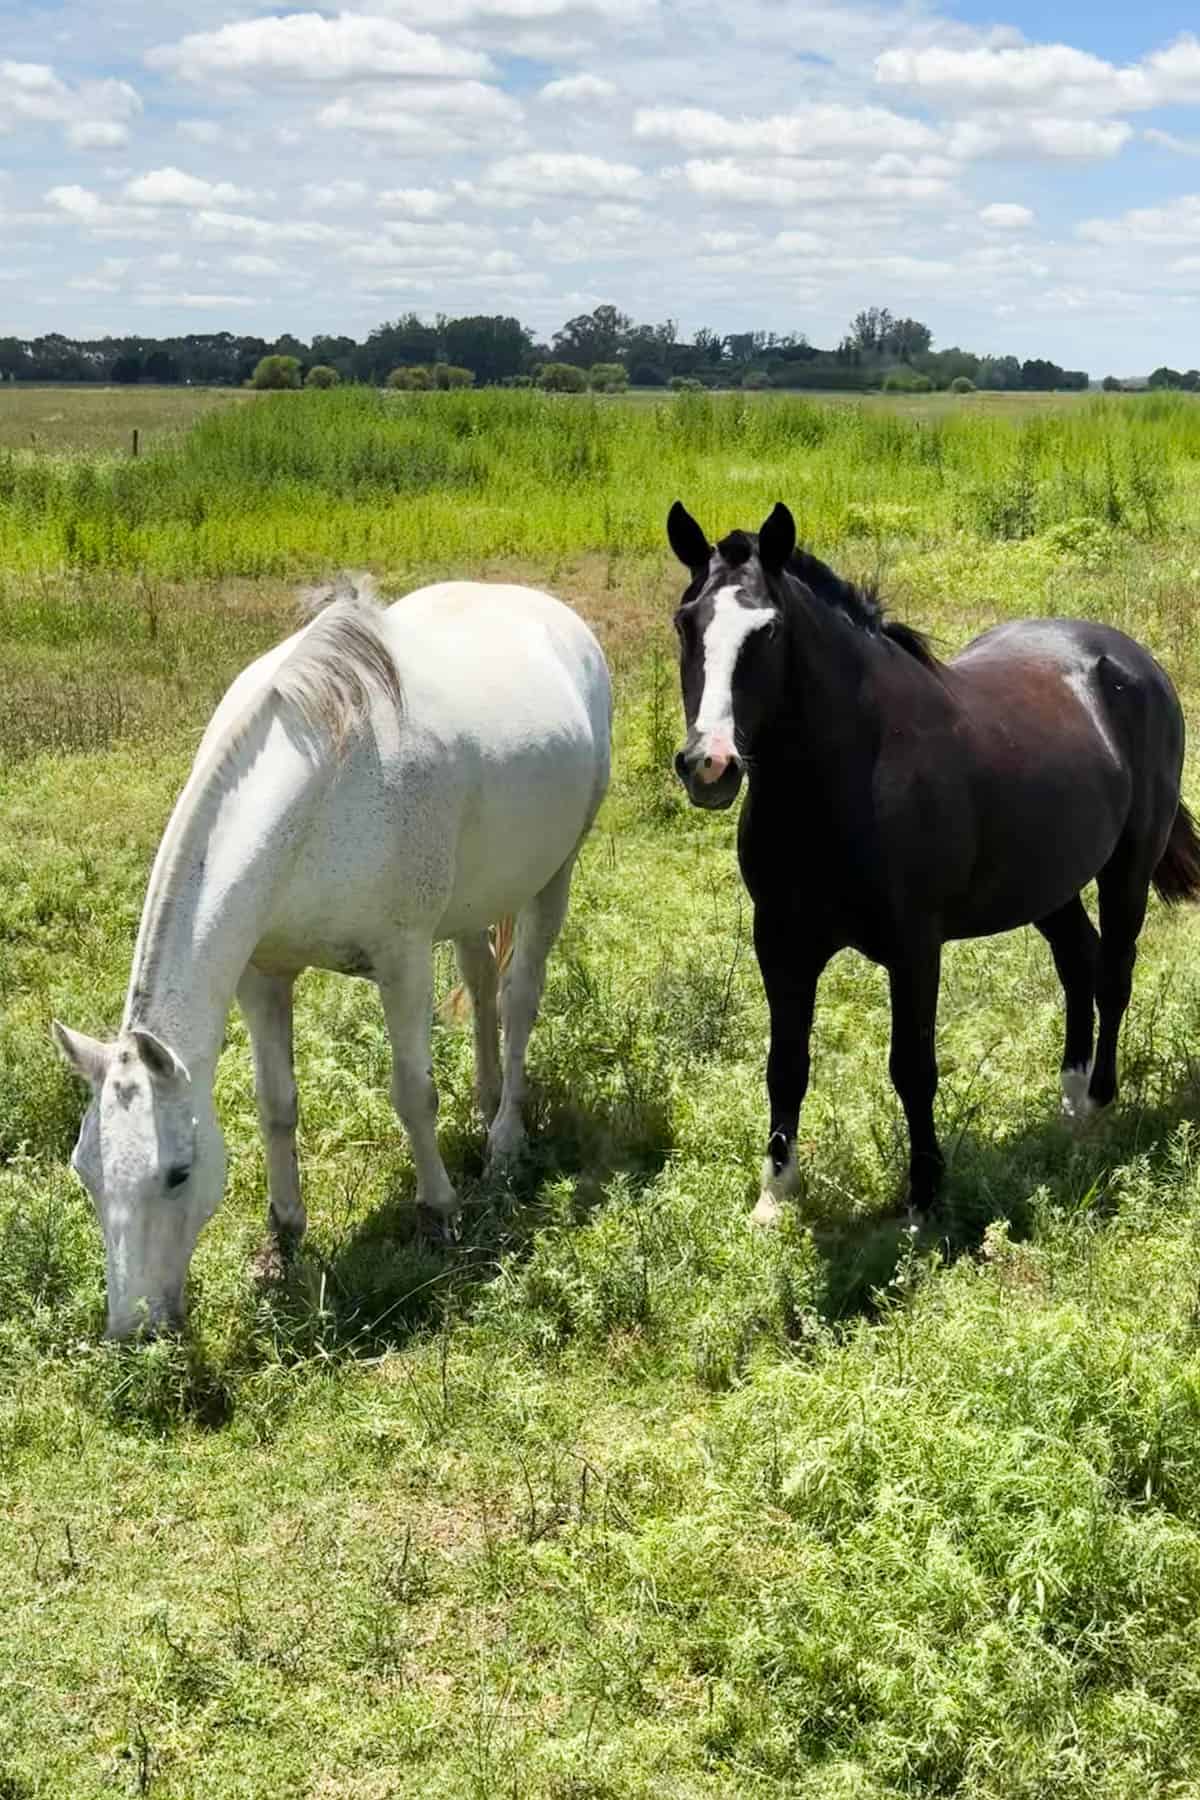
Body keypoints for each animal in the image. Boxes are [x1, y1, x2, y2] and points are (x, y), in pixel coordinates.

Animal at [53, 575, 611, 1338]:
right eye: (85, 1169)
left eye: (177, 1173)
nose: (133, 1332)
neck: (322, 786)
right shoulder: (263, 977)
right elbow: (276, 1103)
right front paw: (283, 1233)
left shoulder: (402, 962)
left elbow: (412, 1094)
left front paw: (438, 1214)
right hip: (474, 901)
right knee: (481, 985)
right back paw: (487, 1100)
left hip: (554, 875)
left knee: (520, 999)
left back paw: (504, 1142)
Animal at [667, 499, 1200, 1226]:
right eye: (685, 622)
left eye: (767, 630)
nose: (709, 765)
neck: (848, 774)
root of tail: (1133, 661)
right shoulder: (780, 942)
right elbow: (786, 1064)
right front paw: (773, 1200)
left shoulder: (914, 948)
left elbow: (912, 1067)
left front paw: (922, 1199)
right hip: (1048, 883)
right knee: (1078, 963)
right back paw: (1069, 1101)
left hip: (1128, 867)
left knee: (1114, 972)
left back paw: (1097, 1107)